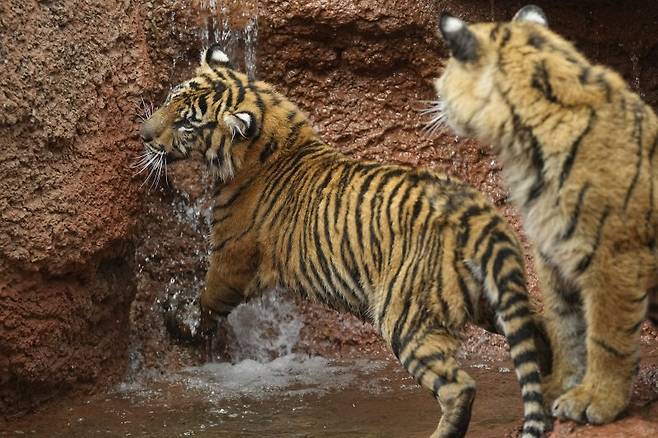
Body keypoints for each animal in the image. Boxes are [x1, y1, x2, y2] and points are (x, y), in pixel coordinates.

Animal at [141, 42, 544, 438]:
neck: (269, 141)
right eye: (170, 97)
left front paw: (176, 320)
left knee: (459, 388)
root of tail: (480, 217)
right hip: (492, 301)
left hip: (407, 317)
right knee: (542, 336)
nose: (143, 134)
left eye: (186, 123)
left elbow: (208, 304)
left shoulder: (232, 258)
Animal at [430, 3, 656, 426]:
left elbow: (607, 337)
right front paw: (561, 385)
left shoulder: (615, 258)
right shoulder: (553, 254)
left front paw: (596, 400)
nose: (434, 94)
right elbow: (566, 327)